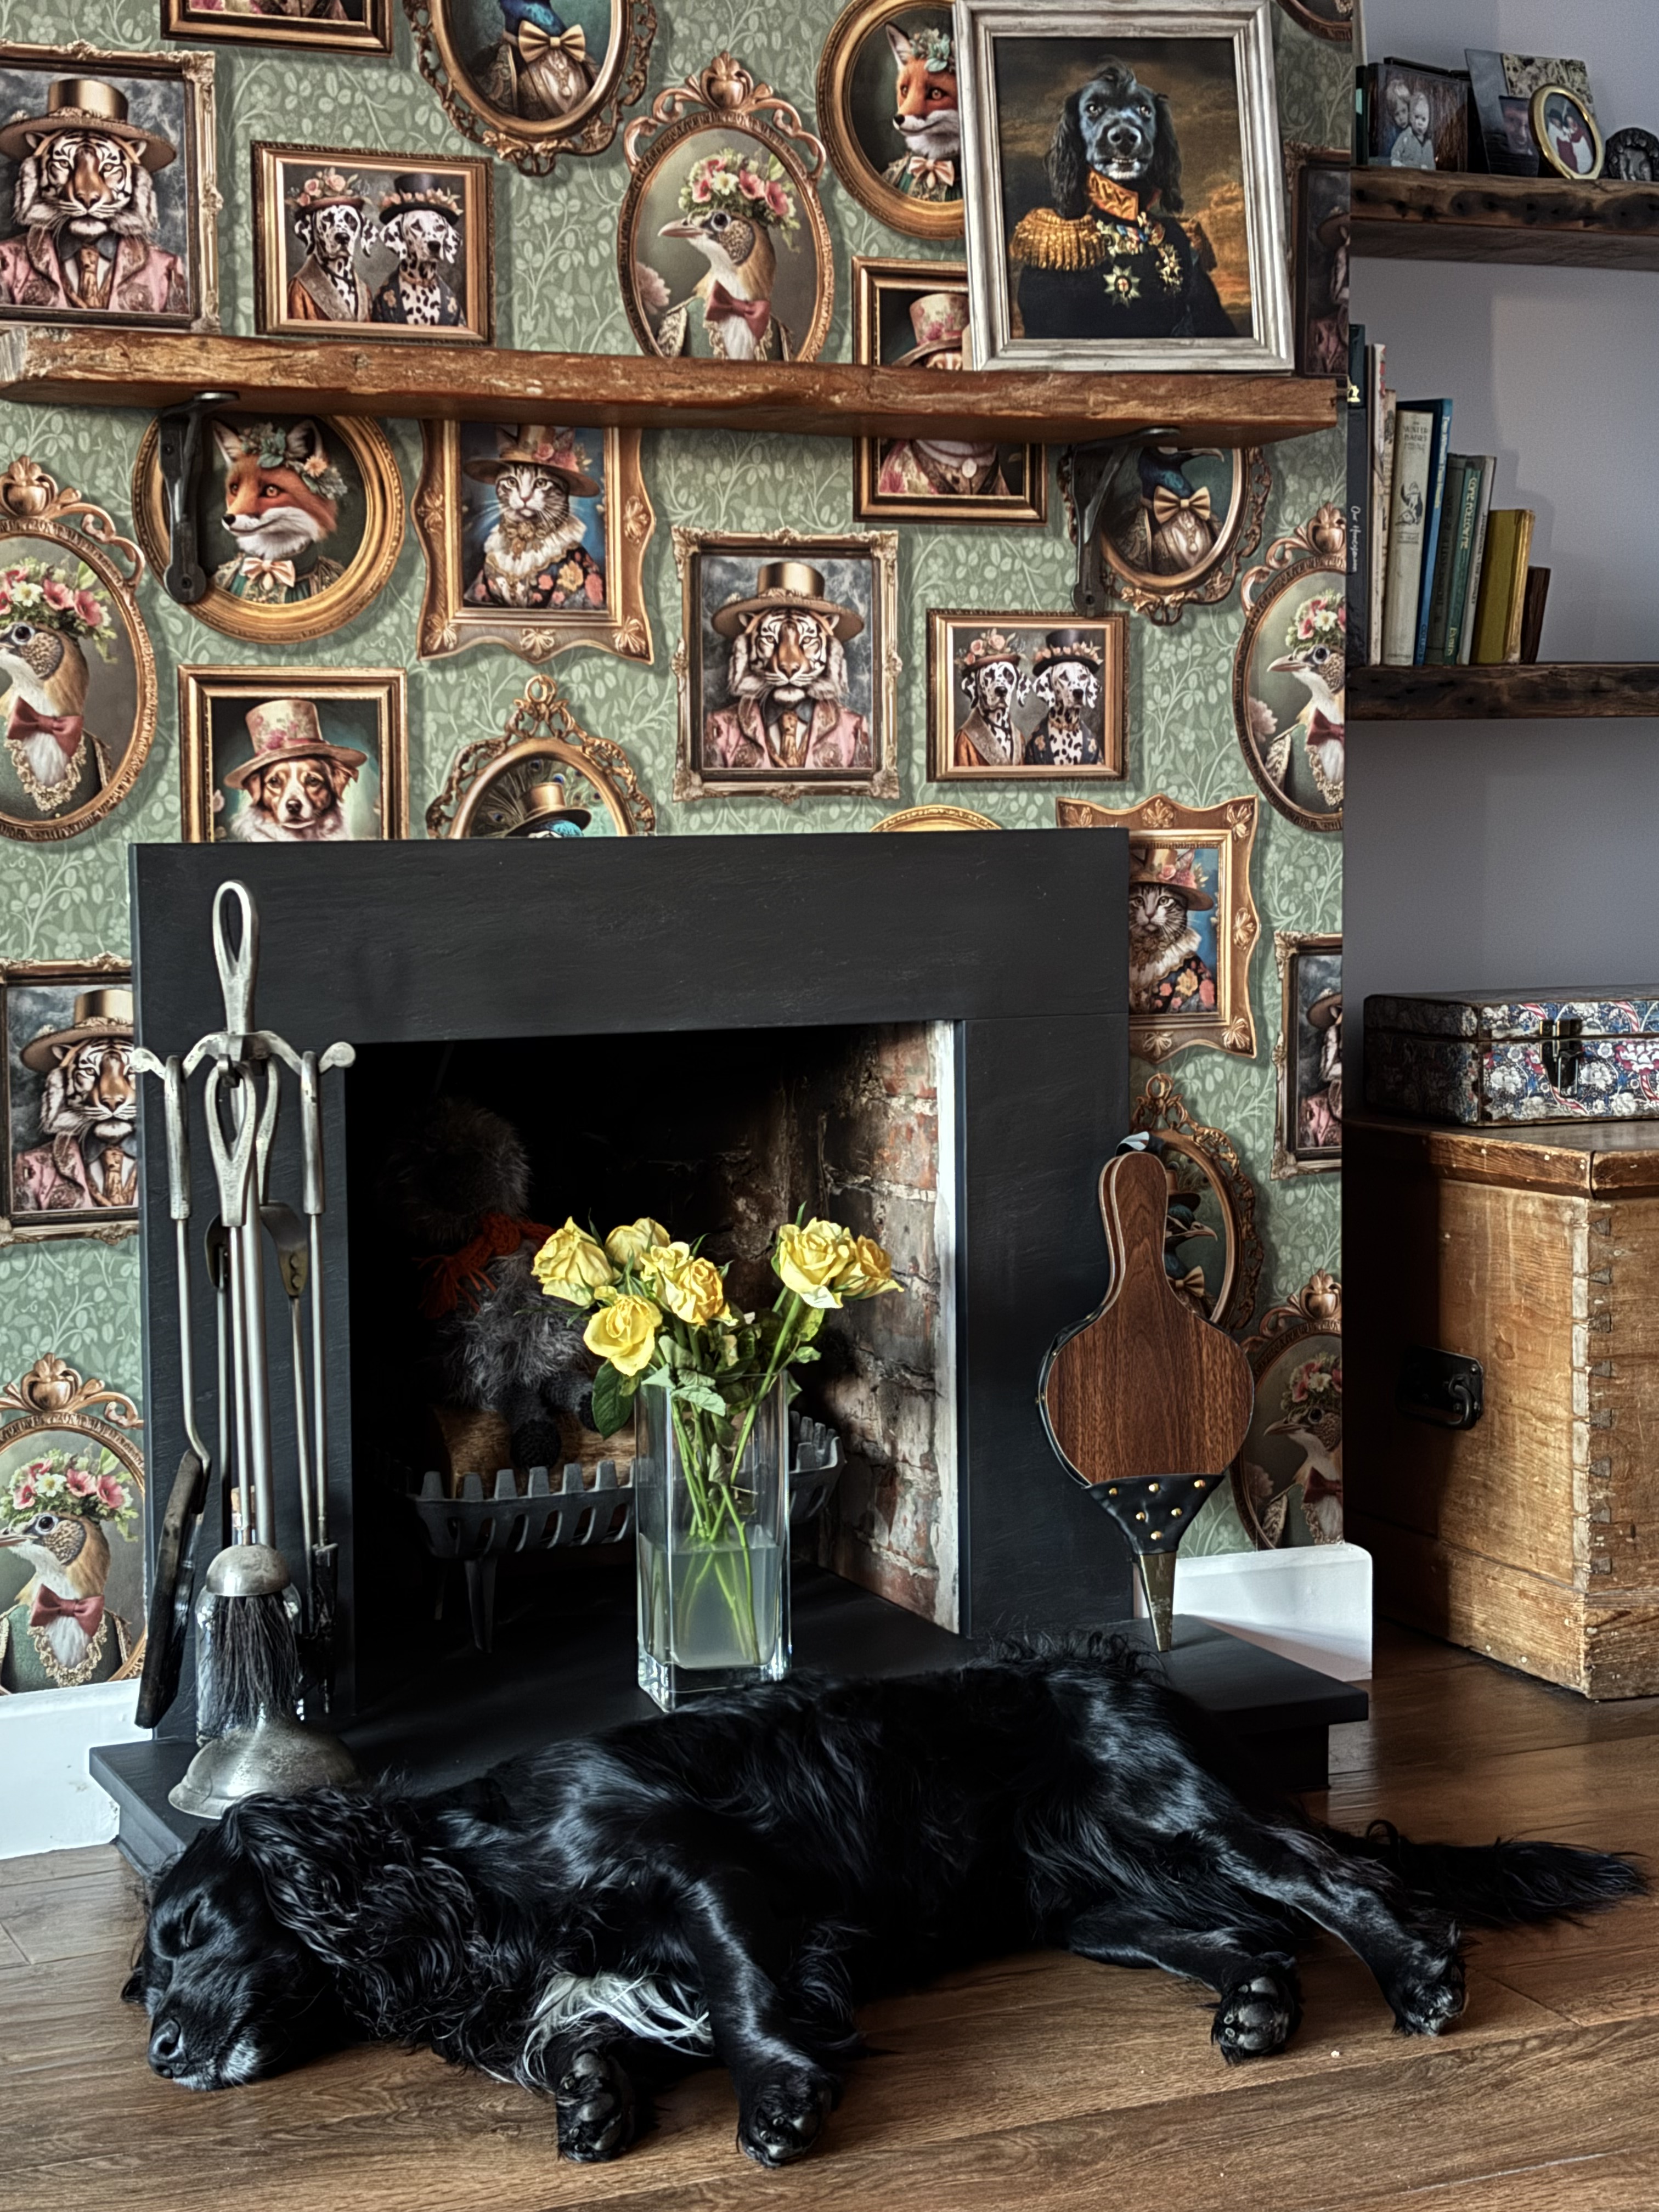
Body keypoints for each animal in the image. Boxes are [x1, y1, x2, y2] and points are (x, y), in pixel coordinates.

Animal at [126, 1645, 1642, 2167]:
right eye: (144, 1981)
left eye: (188, 1934)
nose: (158, 2053)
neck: (465, 1872)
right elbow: (583, 2040)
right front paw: (594, 2108)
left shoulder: (709, 1876)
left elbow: (747, 2002)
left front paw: (779, 2105)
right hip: (1093, 1904)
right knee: (1256, 1933)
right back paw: (1262, 2010)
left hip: (1179, 1813)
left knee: (1345, 1883)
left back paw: (1418, 1979)